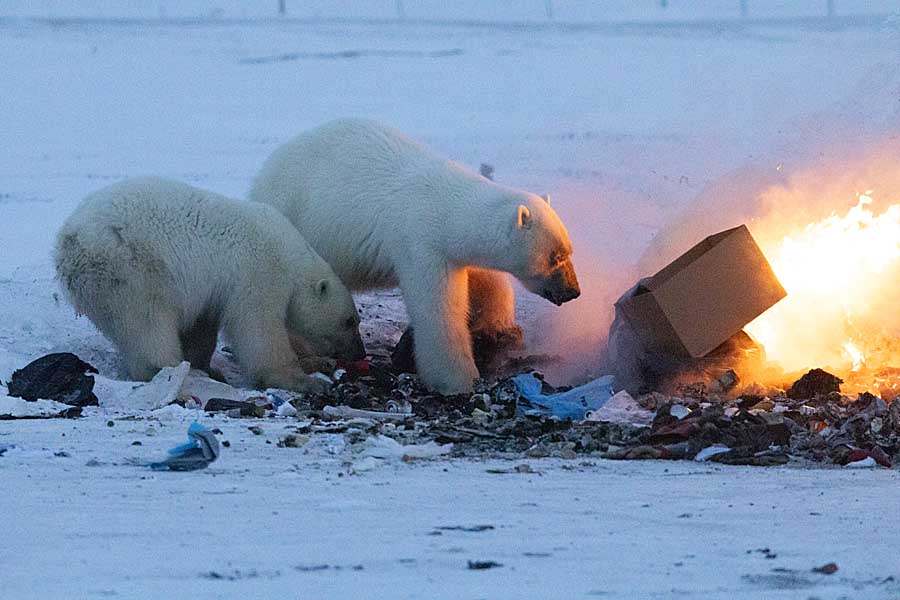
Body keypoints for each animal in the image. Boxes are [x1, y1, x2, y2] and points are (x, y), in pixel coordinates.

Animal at [55, 177, 366, 394]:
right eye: (349, 321)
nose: (360, 353)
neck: (291, 254)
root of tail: (71, 241)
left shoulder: (212, 292)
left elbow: (202, 326)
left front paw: (206, 364)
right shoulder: (259, 272)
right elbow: (258, 328)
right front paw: (304, 380)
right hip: (133, 268)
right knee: (148, 321)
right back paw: (169, 372)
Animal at [250, 119, 580, 396]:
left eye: (568, 251)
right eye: (555, 257)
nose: (573, 291)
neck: (449, 208)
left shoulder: (456, 250)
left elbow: (487, 281)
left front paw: (499, 330)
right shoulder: (420, 242)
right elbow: (438, 311)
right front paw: (459, 379)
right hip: (292, 218)